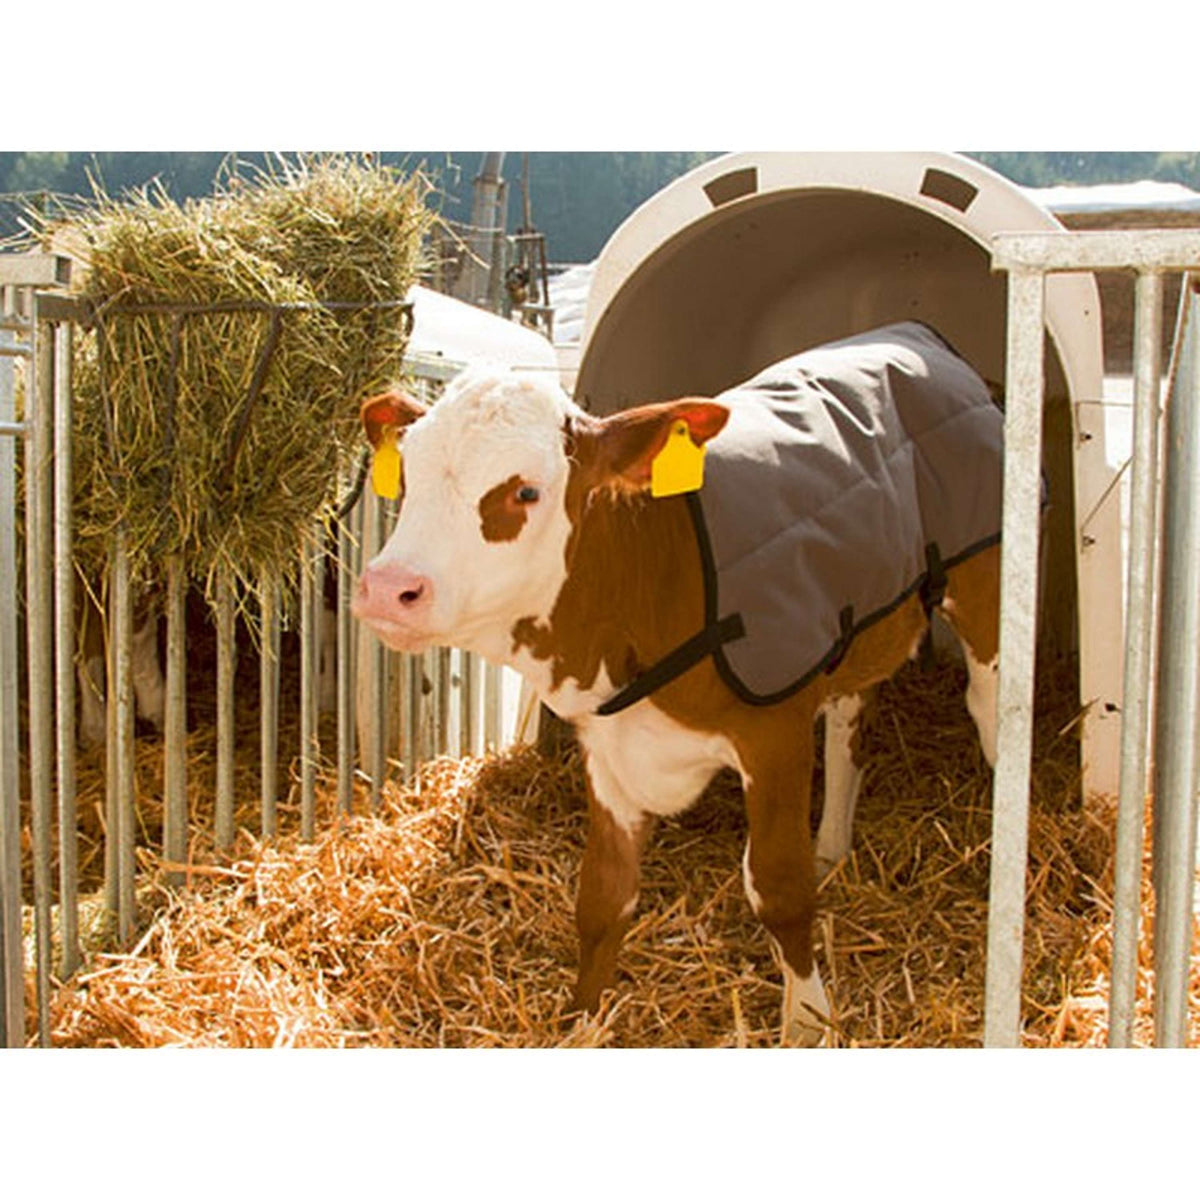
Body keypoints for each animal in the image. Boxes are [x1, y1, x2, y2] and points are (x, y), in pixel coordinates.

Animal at [352, 322, 1002, 1046]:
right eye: (406, 475)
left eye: (525, 492)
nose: (388, 587)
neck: (653, 570)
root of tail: (922, 336)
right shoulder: (610, 744)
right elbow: (602, 895)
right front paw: (582, 1023)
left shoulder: (774, 731)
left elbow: (779, 888)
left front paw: (807, 1021)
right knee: (849, 725)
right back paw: (832, 846)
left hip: (982, 584)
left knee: (989, 708)